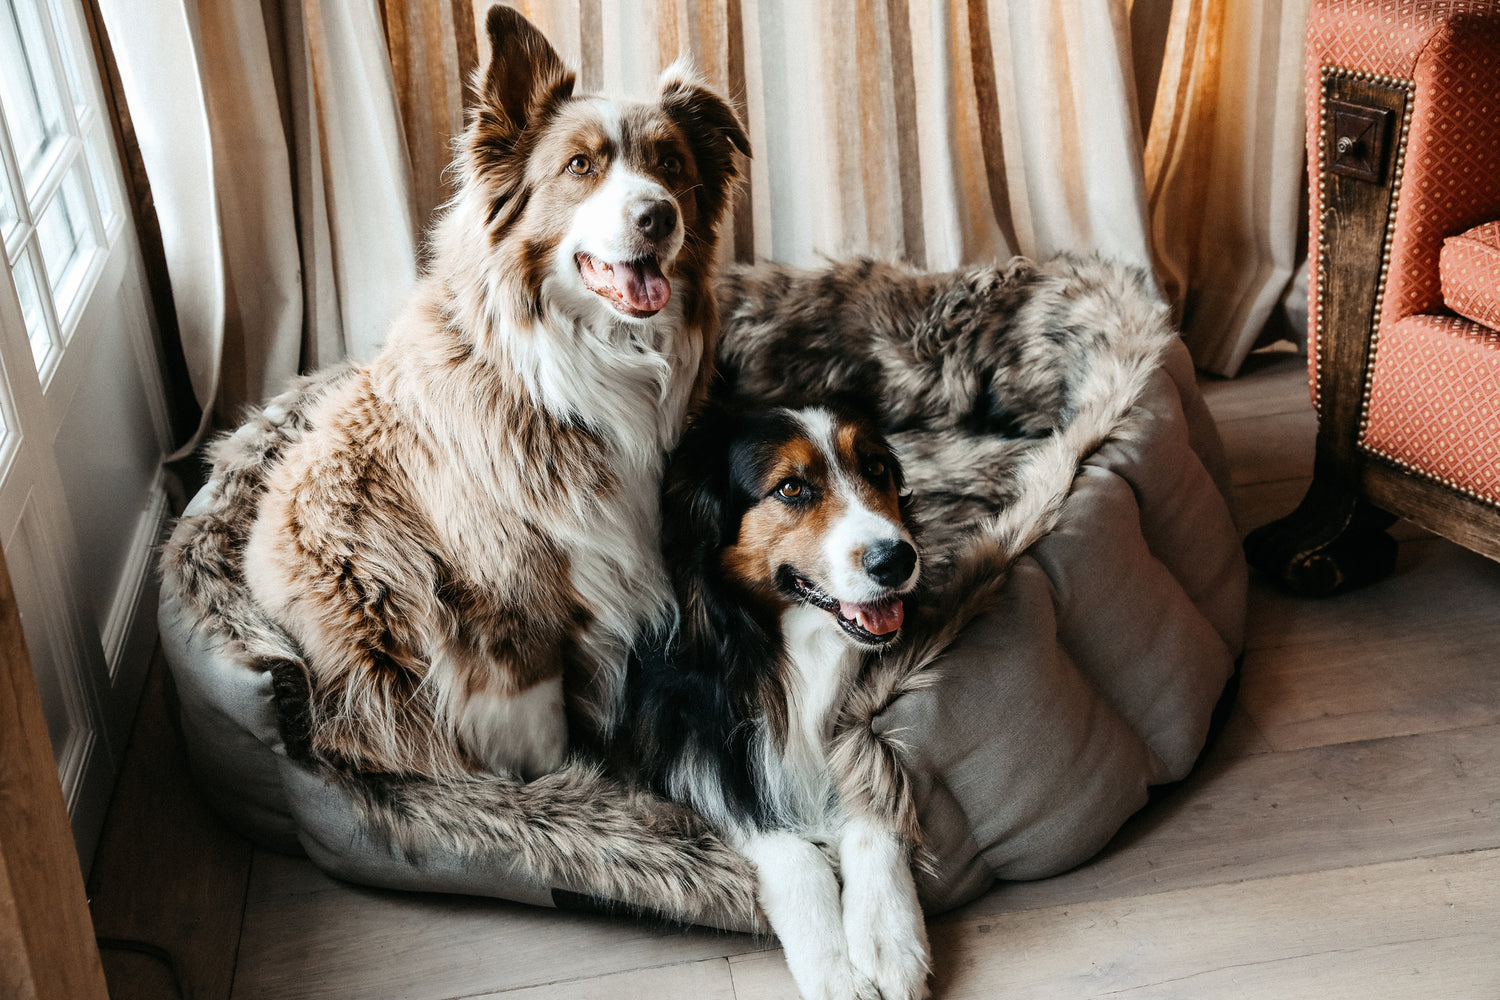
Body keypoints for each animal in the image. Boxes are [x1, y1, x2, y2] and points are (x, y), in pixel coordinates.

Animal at [243, 7, 750, 785]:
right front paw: (569, 793)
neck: (586, 365)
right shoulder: (505, 613)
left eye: (671, 166)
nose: (658, 216)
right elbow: (541, 741)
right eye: (580, 166)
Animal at [618, 401, 924, 1000]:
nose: (896, 560)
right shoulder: (688, 752)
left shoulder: (859, 732)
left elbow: (873, 800)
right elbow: (787, 848)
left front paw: (887, 939)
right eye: (790, 488)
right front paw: (834, 971)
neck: (796, 646)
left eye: (876, 468)